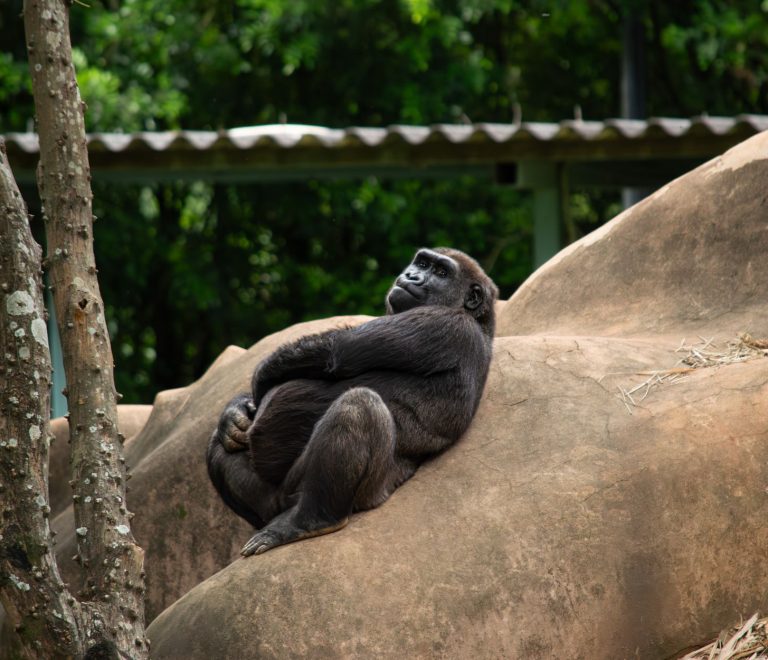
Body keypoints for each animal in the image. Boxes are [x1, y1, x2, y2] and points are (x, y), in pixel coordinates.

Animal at [206, 247, 498, 556]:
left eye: (441, 273)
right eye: (421, 263)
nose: (411, 276)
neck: (480, 321)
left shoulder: (444, 324)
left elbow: (337, 351)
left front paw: (260, 379)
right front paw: (235, 411)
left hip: (370, 494)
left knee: (358, 406)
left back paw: (312, 519)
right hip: (274, 501)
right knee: (224, 446)